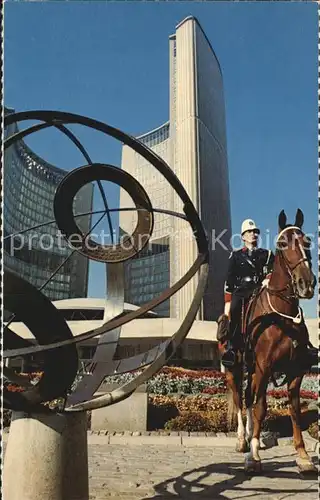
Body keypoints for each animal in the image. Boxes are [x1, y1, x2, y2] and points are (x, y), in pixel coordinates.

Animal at [219, 209, 316, 474]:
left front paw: (303, 456)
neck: (281, 317)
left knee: (249, 398)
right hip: (234, 370)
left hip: (252, 371)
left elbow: (294, 410)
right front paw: (253, 457)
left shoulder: (295, 371)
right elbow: (261, 408)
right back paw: (242, 440)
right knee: (240, 401)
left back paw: (254, 437)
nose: (306, 284)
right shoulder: (264, 367)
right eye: (282, 244)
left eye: (307, 242)